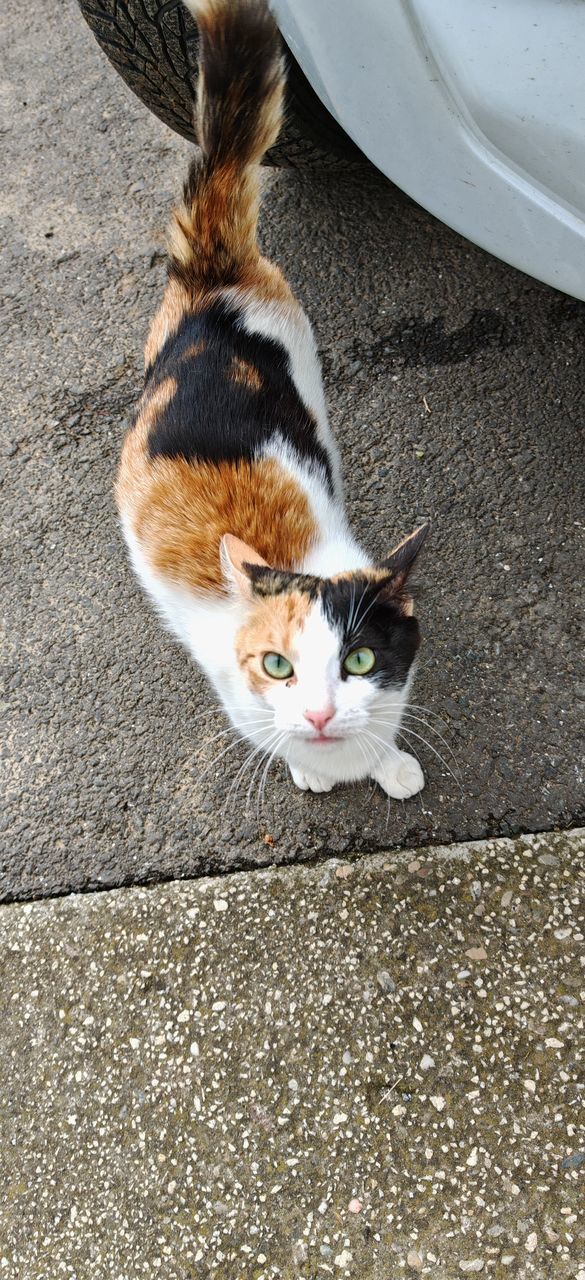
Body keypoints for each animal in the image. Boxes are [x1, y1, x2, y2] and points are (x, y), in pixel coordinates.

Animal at [117, 0, 427, 793]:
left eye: (358, 661)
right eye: (277, 667)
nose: (318, 714)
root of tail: (210, 276)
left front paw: (386, 761)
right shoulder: (236, 691)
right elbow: (271, 734)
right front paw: (314, 768)